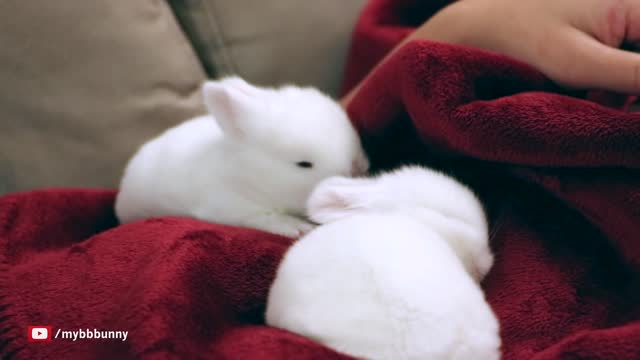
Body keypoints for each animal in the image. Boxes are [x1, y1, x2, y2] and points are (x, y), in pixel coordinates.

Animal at [112, 76, 368, 236]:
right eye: (303, 164)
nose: (356, 168)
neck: (248, 175)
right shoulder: (231, 209)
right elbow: (265, 218)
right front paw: (299, 228)